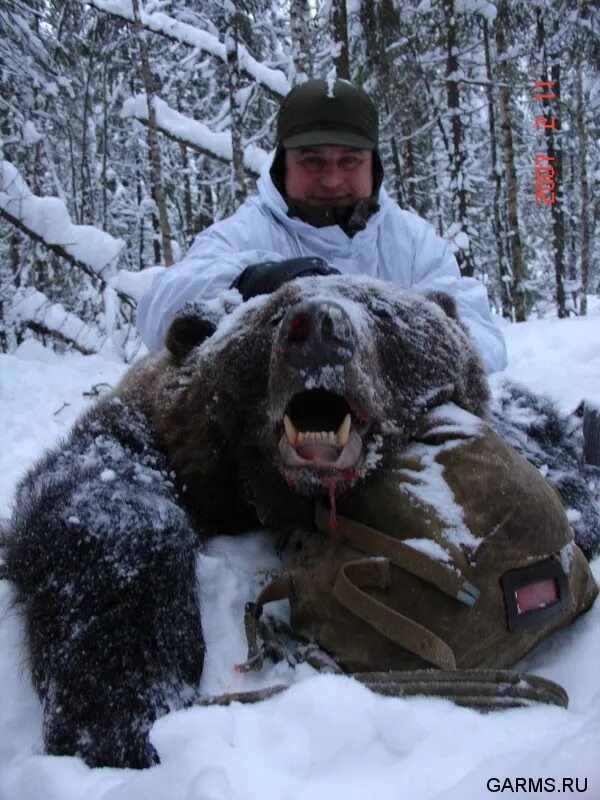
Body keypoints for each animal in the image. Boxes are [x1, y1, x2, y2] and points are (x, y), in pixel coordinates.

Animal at [3, 276, 596, 768]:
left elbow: (556, 472)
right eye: (272, 316)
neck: (273, 490)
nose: (317, 328)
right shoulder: (156, 436)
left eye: (380, 310)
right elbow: (102, 508)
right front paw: (119, 712)